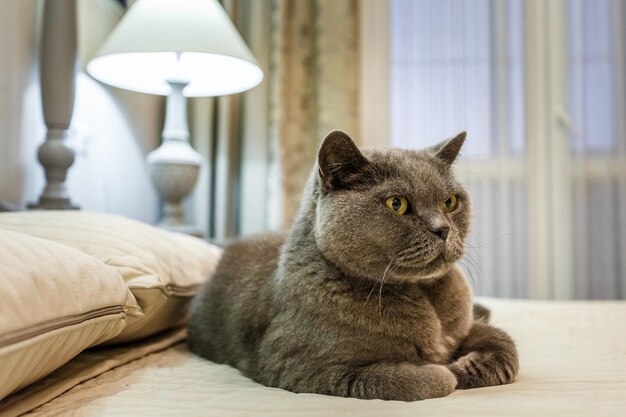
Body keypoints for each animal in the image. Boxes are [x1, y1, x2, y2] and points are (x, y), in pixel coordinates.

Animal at [186, 131, 516, 400]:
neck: (423, 296)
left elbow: (505, 343)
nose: (443, 229)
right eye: (397, 204)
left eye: (449, 202)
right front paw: (443, 371)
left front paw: (461, 366)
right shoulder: (299, 368)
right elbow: (396, 380)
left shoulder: (467, 324)